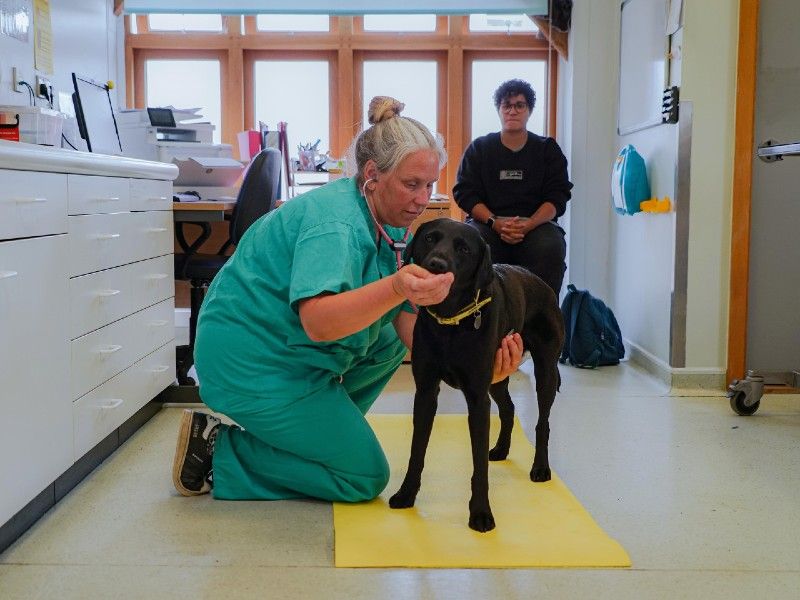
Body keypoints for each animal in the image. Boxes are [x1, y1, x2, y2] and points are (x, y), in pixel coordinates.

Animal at [388, 218, 564, 532]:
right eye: (430, 238)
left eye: (464, 249)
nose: (436, 264)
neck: (450, 323)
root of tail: (541, 283)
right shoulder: (426, 393)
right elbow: (416, 451)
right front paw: (406, 494)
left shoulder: (477, 399)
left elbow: (478, 464)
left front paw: (481, 512)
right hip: (497, 378)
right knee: (509, 408)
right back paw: (502, 449)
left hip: (545, 371)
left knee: (542, 423)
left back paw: (540, 467)